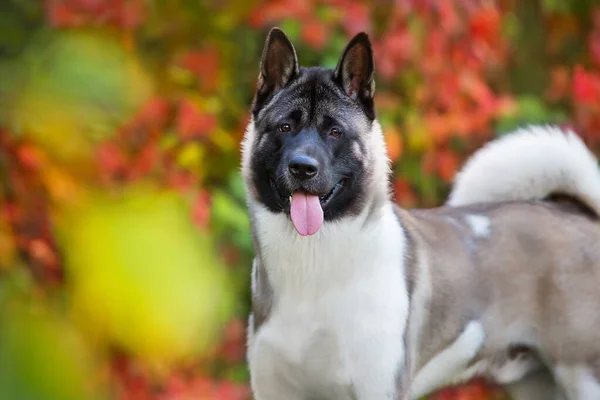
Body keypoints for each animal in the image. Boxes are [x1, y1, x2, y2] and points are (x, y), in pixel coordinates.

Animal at [241, 26, 600, 398]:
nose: (302, 167)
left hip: (584, 376)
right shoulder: (274, 389)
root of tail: (578, 212)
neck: (313, 265)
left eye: (335, 131)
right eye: (284, 128)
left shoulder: (378, 388)